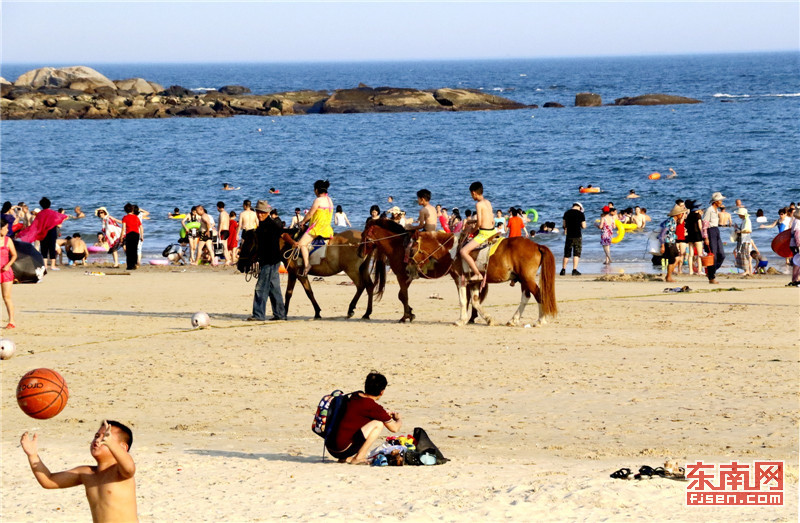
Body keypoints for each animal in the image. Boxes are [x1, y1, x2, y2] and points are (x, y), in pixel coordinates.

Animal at [238, 226, 378, 320]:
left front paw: (285, 312)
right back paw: (367, 313)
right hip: (362, 269)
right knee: (369, 286)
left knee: (361, 286)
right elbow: (309, 292)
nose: (239, 265)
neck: (289, 245)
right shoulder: (300, 275)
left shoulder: (295, 274)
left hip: (352, 270)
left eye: (247, 245)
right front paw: (317, 312)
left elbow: (291, 293)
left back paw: (351, 309)